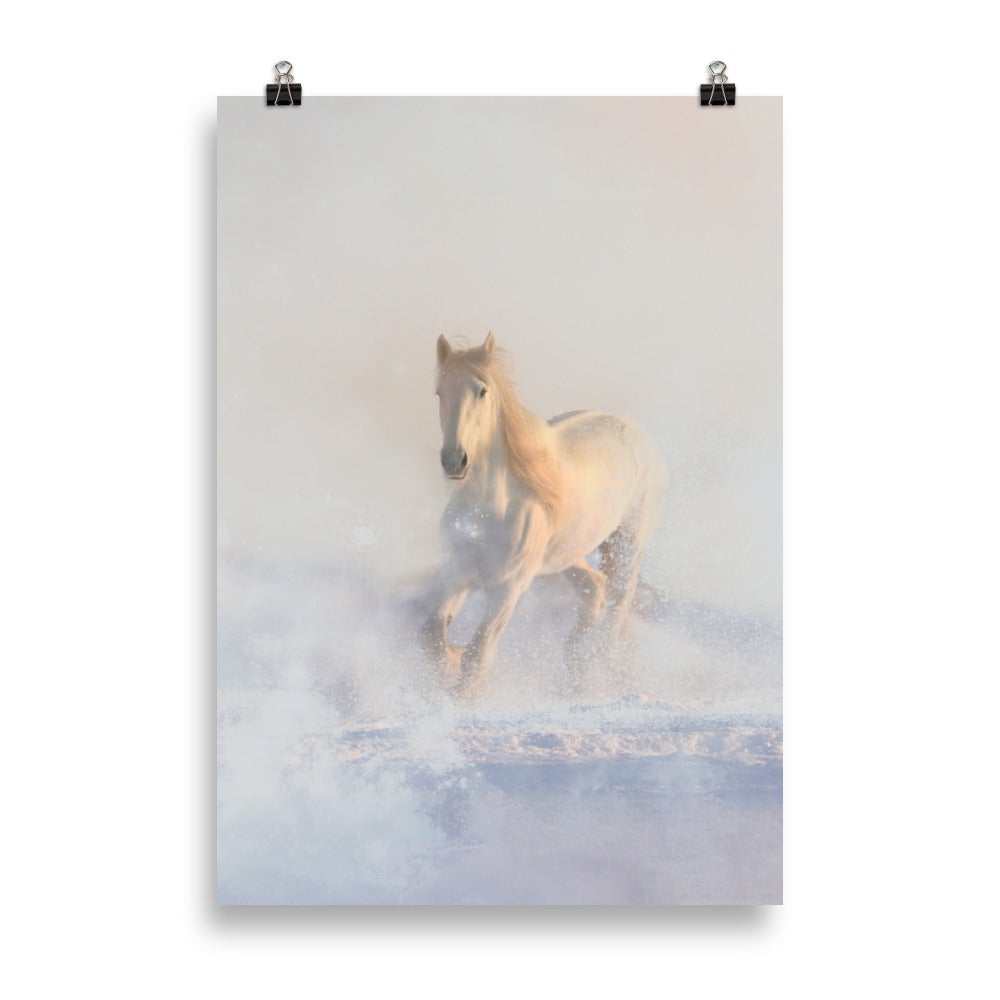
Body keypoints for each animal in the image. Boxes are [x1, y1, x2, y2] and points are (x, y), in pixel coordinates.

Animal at [420, 331, 667, 698]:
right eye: (440, 392)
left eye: (481, 391)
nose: (454, 460)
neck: (490, 511)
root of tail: (636, 431)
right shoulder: (456, 573)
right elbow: (432, 637)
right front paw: (448, 669)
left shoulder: (509, 588)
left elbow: (478, 657)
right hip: (568, 554)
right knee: (596, 589)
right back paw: (576, 668)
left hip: (628, 544)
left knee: (617, 606)